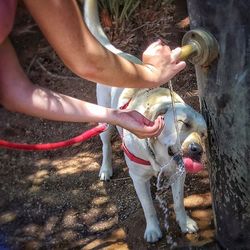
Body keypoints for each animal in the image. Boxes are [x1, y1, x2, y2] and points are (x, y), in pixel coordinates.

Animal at [84, 0, 207, 242]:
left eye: (204, 134)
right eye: (184, 124)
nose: (197, 150)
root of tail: (116, 52)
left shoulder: (178, 173)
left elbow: (179, 202)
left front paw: (185, 222)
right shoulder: (138, 178)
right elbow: (148, 207)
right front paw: (153, 230)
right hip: (106, 122)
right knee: (105, 145)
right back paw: (106, 168)